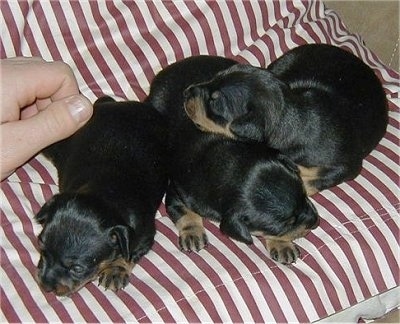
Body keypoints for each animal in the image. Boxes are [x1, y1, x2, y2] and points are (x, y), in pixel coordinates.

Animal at [32, 96, 167, 296]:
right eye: (41, 248)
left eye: (77, 268)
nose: (46, 287)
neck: (103, 193)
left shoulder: (144, 237)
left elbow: (128, 254)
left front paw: (115, 270)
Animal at [146, 55, 318, 264]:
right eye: (287, 223)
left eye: (305, 195)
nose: (316, 221)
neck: (229, 166)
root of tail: (167, 70)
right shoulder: (176, 193)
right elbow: (184, 213)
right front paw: (192, 234)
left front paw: (282, 245)